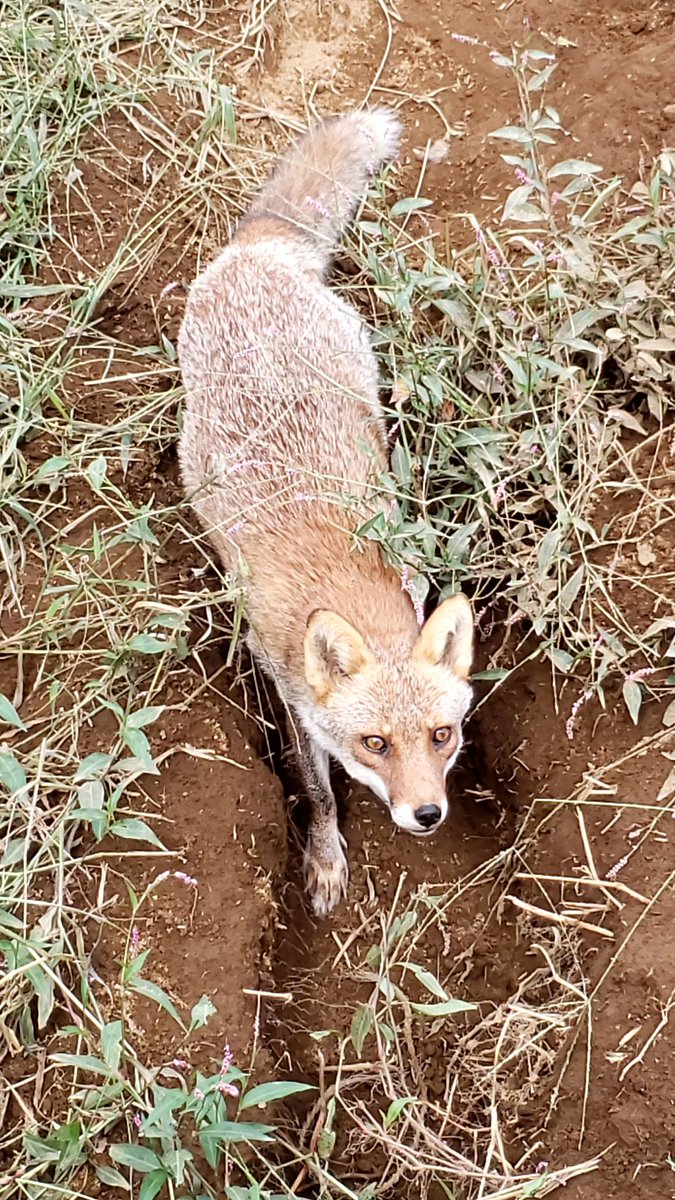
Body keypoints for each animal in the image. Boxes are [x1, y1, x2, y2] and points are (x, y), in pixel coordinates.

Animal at [178, 110, 473, 916]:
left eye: (442, 736)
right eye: (374, 745)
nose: (427, 814)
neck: (344, 583)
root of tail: (255, 254)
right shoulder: (286, 687)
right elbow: (314, 787)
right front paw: (325, 855)